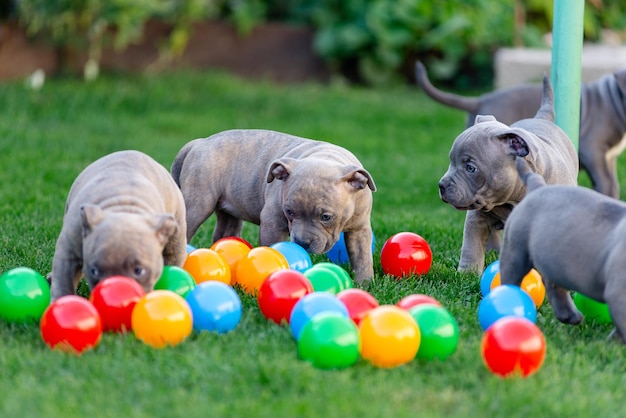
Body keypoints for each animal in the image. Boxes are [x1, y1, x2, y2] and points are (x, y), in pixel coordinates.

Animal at [48, 150, 185, 300]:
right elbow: (63, 283)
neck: (122, 208)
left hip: (177, 238)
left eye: (138, 271)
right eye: (94, 271)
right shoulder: (68, 251)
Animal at [171, 128, 376, 284]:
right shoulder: (273, 222)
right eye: (289, 212)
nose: (302, 243)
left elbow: (363, 258)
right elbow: (271, 247)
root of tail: (199, 143)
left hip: (228, 211)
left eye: (326, 217)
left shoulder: (360, 230)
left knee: (225, 230)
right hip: (198, 204)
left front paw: (365, 284)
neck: (326, 157)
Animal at [414, 61, 624, 198]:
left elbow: (612, 181)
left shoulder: (610, 158)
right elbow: (606, 181)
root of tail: (481, 99)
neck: (612, 98)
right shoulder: (593, 149)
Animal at [438, 76, 576, 274]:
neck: (512, 197)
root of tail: (540, 118)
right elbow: (471, 247)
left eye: (471, 168)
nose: (441, 185)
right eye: (451, 162)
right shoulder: (476, 218)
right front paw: (467, 273)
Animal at [500, 157, 624, 342]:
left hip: (553, 261)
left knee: (552, 285)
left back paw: (568, 315)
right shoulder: (618, 294)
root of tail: (537, 185)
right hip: (515, 253)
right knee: (510, 280)